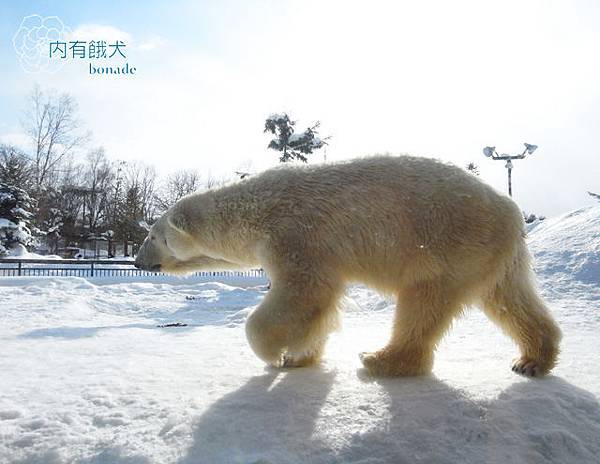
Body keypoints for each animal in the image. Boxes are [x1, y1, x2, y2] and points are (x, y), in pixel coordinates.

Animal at [136, 156, 564, 376]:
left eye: (154, 235)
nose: (139, 261)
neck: (257, 210)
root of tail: (512, 210)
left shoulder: (298, 235)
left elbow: (304, 292)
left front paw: (274, 355)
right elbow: (318, 307)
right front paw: (300, 356)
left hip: (449, 243)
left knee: (424, 303)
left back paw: (380, 359)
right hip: (491, 254)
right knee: (509, 299)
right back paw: (532, 359)